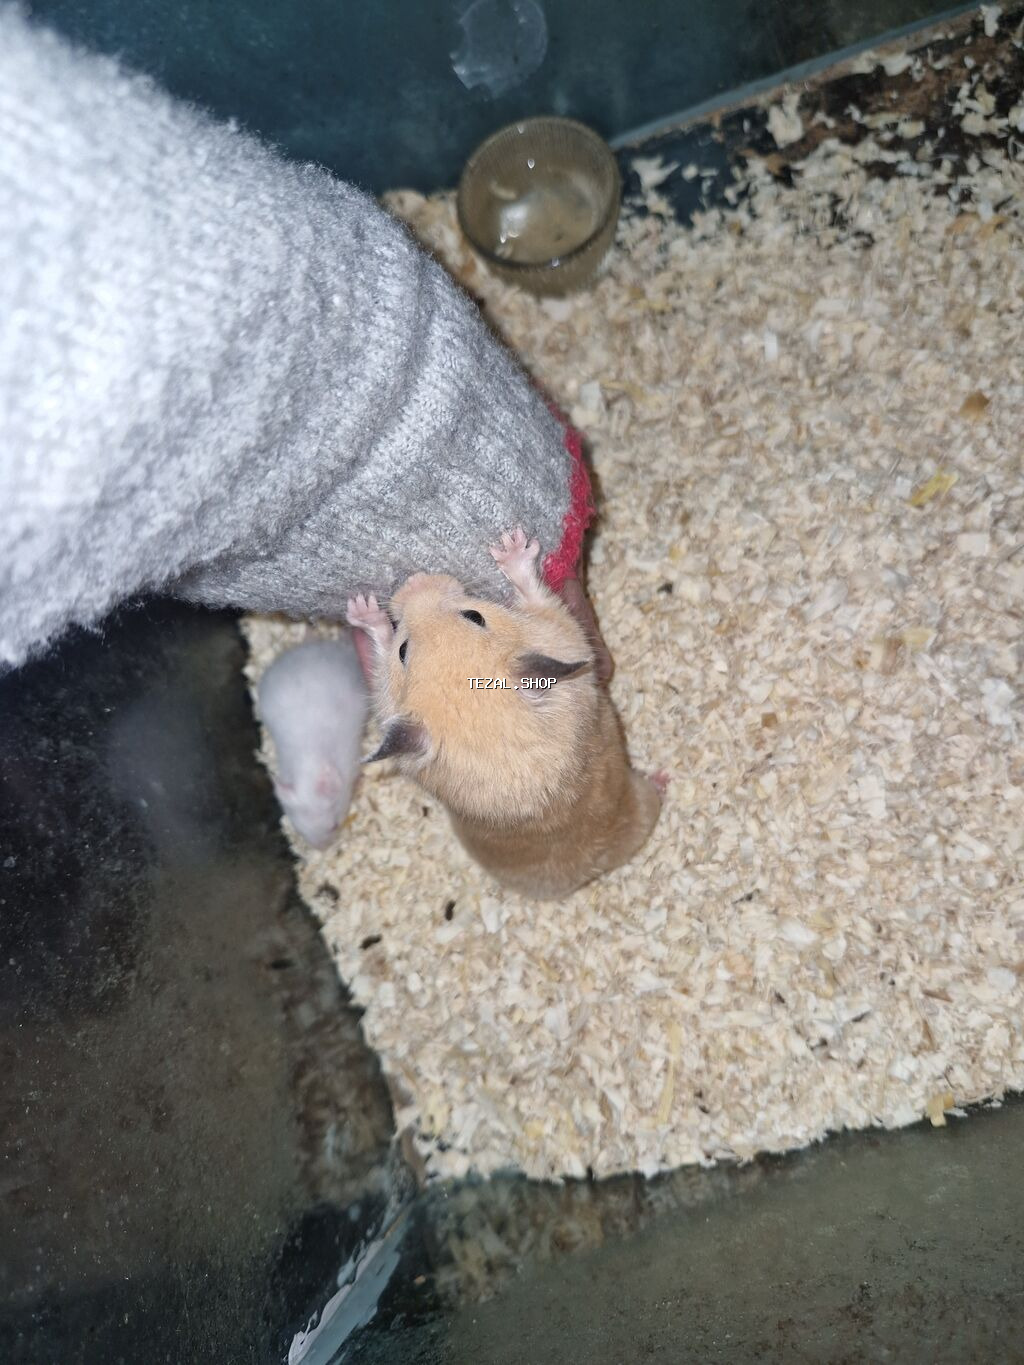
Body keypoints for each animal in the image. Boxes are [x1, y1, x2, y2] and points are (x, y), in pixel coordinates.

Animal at [347, 528, 661, 900]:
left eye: (474, 616)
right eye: (403, 650)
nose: (414, 582)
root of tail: (594, 871)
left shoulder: (561, 632)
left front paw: (511, 544)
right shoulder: (560, 630)